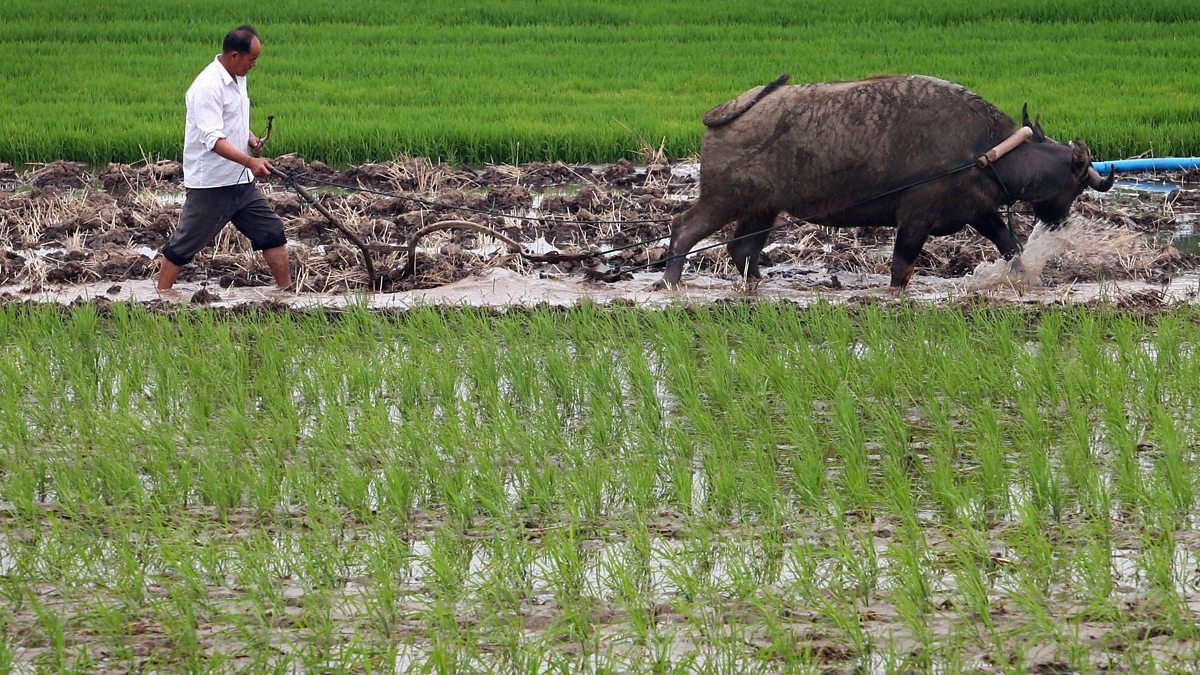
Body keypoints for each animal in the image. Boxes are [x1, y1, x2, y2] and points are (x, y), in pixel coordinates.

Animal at [657, 74, 1113, 288]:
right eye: (1076, 184)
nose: (1058, 222)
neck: (985, 151)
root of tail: (725, 111)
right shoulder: (915, 219)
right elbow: (900, 269)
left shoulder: (978, 212)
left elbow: (1010, 248)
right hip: (724, 198)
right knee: (684, 229)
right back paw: (671, 282)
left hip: (762, 209)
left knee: (743, 249)